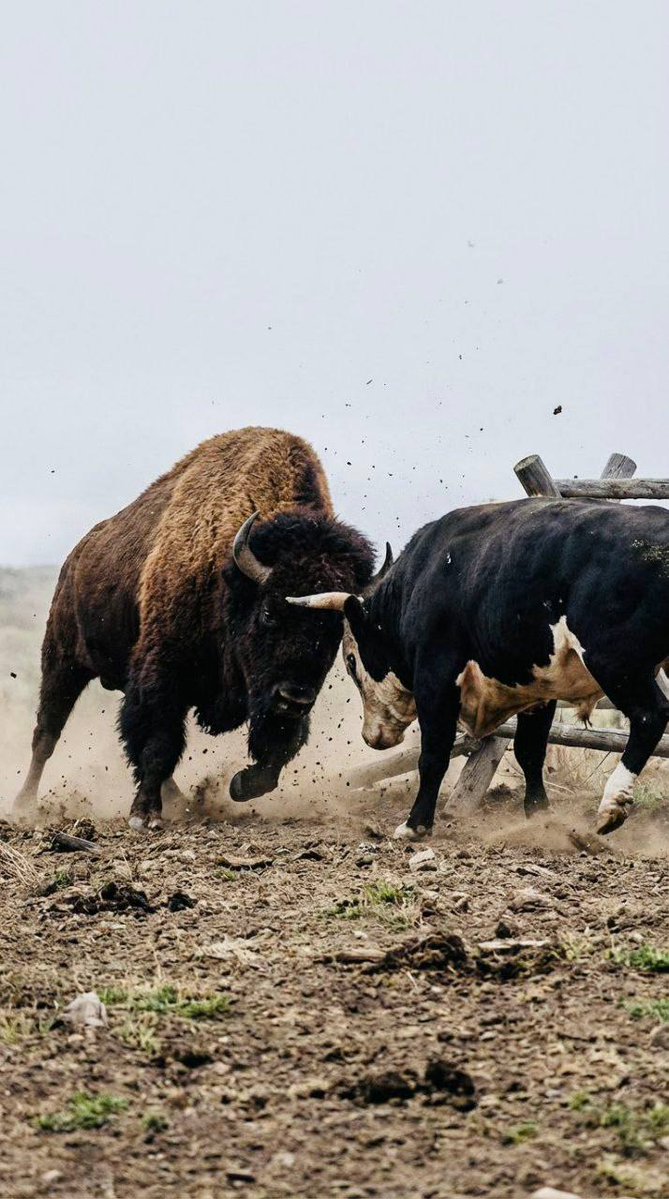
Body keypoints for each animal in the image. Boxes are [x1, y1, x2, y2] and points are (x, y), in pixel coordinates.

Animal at [14, 427, 375, 828]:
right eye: (269, 611)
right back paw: (24, 803)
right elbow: (158, 742)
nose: (293, 699)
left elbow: (276, 754)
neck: (229, 575)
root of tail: (76, 556)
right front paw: (144, 814)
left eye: (336, 628)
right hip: (62, 661)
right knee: (46, 735)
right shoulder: (163, 672)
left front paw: (238, 785)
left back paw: (181, 799)